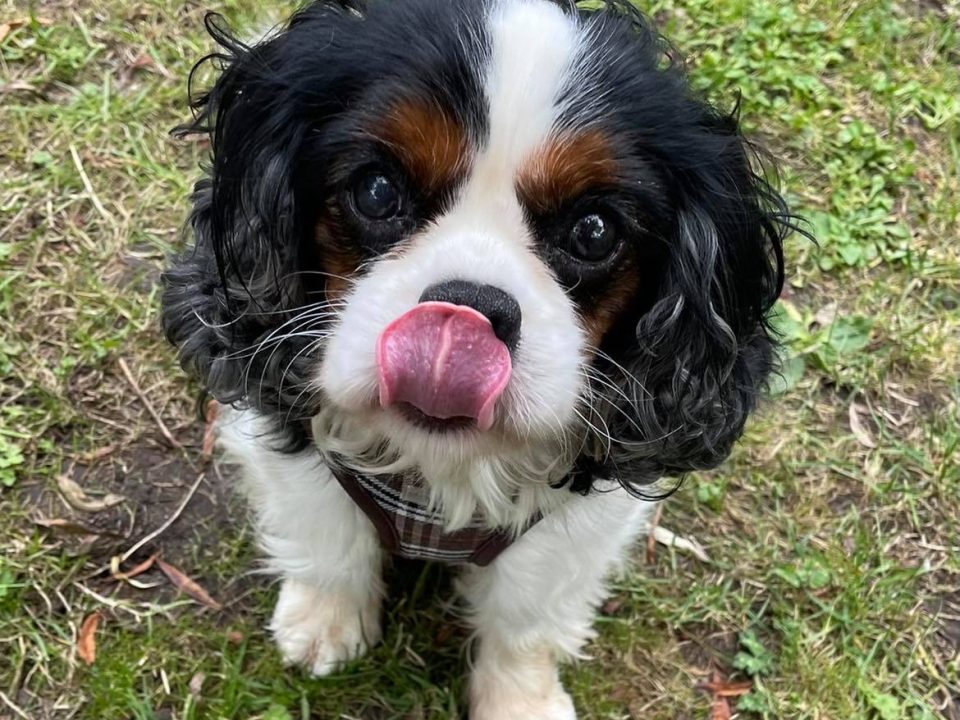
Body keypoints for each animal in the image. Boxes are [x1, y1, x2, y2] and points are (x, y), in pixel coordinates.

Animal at [163, 2, 796, 716]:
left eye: (594, 230)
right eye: (376, 190)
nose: (467, 309)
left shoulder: (574, 522)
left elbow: (526, 615)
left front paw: (521, 698)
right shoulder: (287, 429)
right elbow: (326, 534)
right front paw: (325, 619)